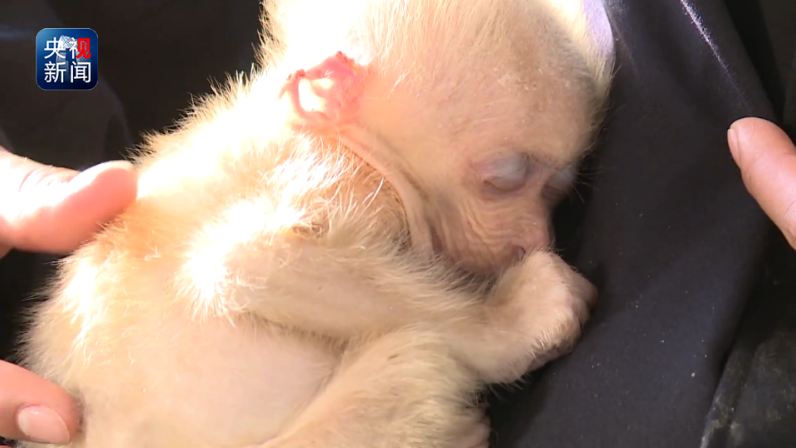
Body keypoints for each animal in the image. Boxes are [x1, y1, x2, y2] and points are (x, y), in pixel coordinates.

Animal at [16, 0, 613, 447]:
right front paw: (516, 322)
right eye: (505, 179)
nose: (539, 237)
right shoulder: (340, 176)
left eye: (557, 189)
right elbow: (251, 260)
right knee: (414, 363)